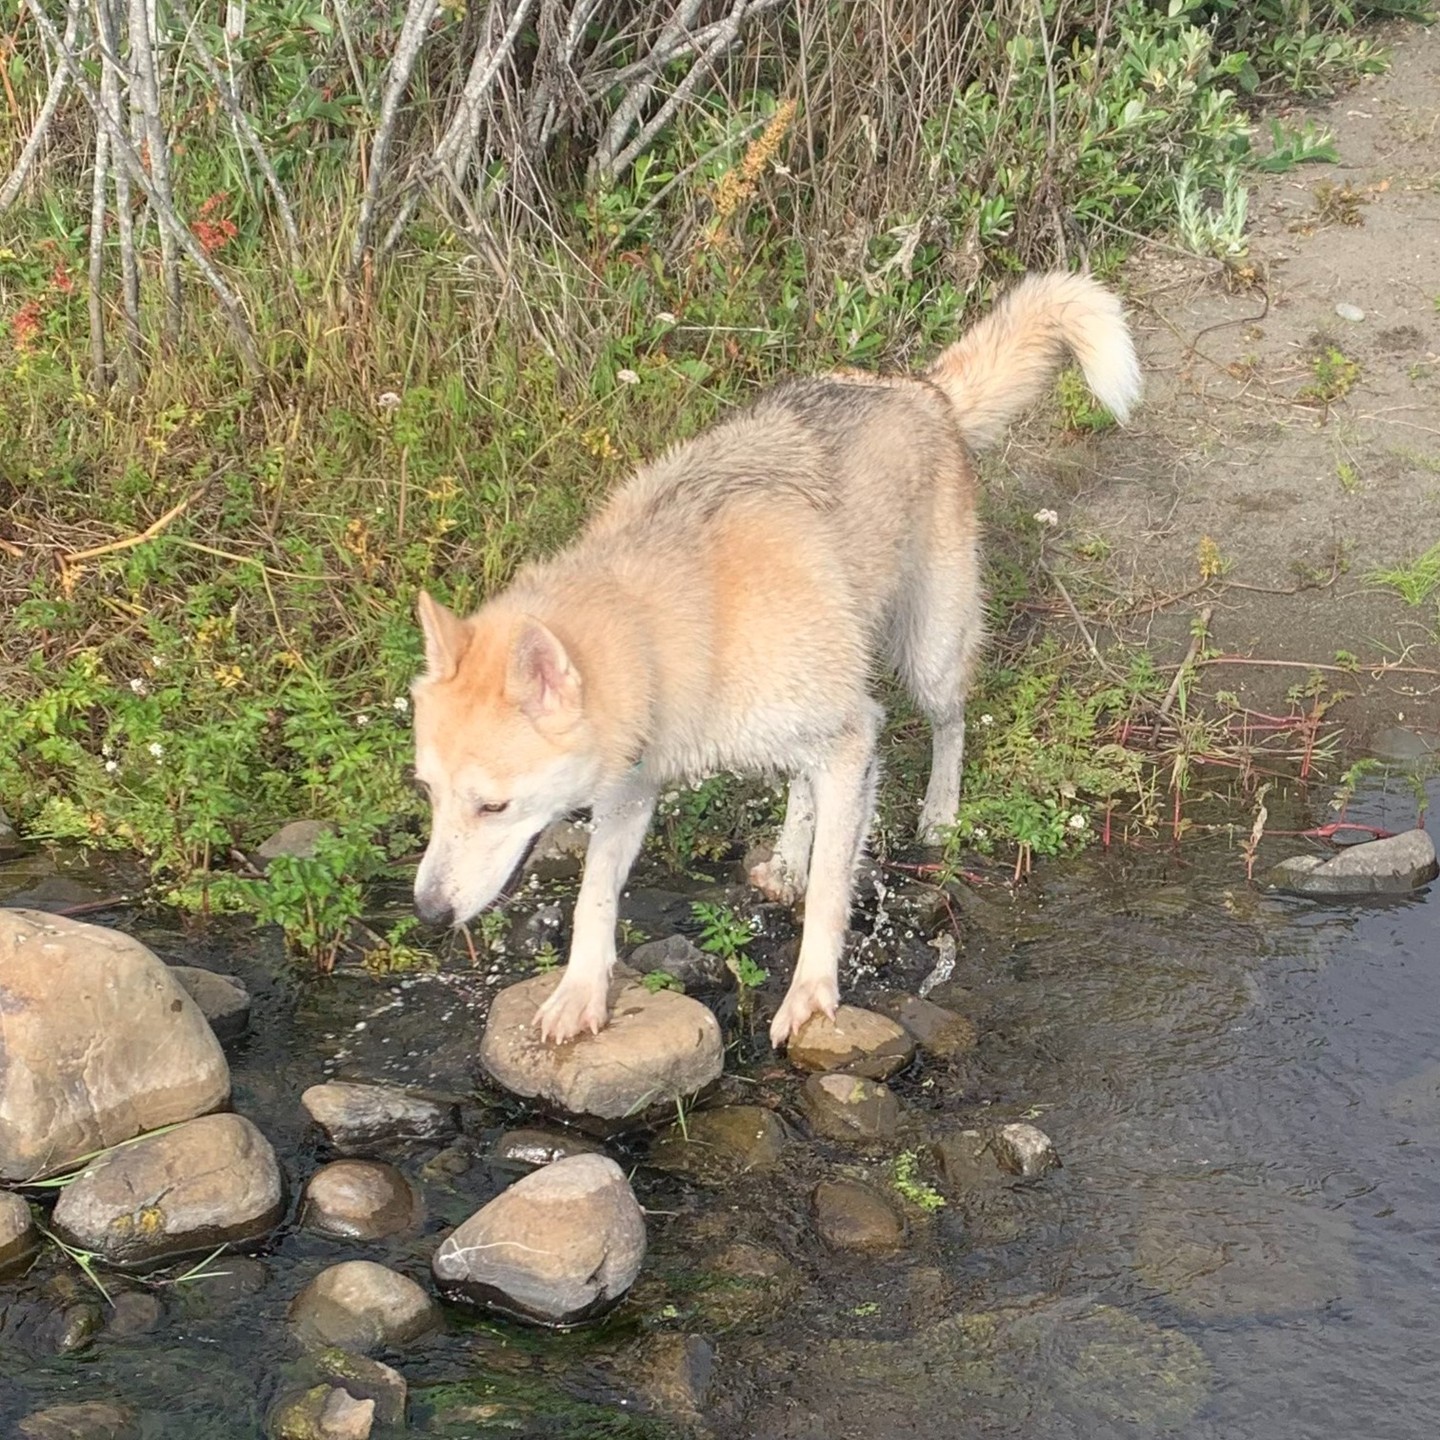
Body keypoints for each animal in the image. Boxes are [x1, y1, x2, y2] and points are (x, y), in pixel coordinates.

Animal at [411, 267, 1140, 1048]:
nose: (427, 913)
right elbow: (594, 898)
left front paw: (813, 996)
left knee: (950, 726)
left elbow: (829, 892)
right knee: (801, 788)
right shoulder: (632, 790)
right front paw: (580, 993)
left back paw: (939, 815)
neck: (667, 626)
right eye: (428, 793)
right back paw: (787, 860)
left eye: (493, 805)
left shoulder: (854, 739)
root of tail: (922, 390)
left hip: (926, 661)